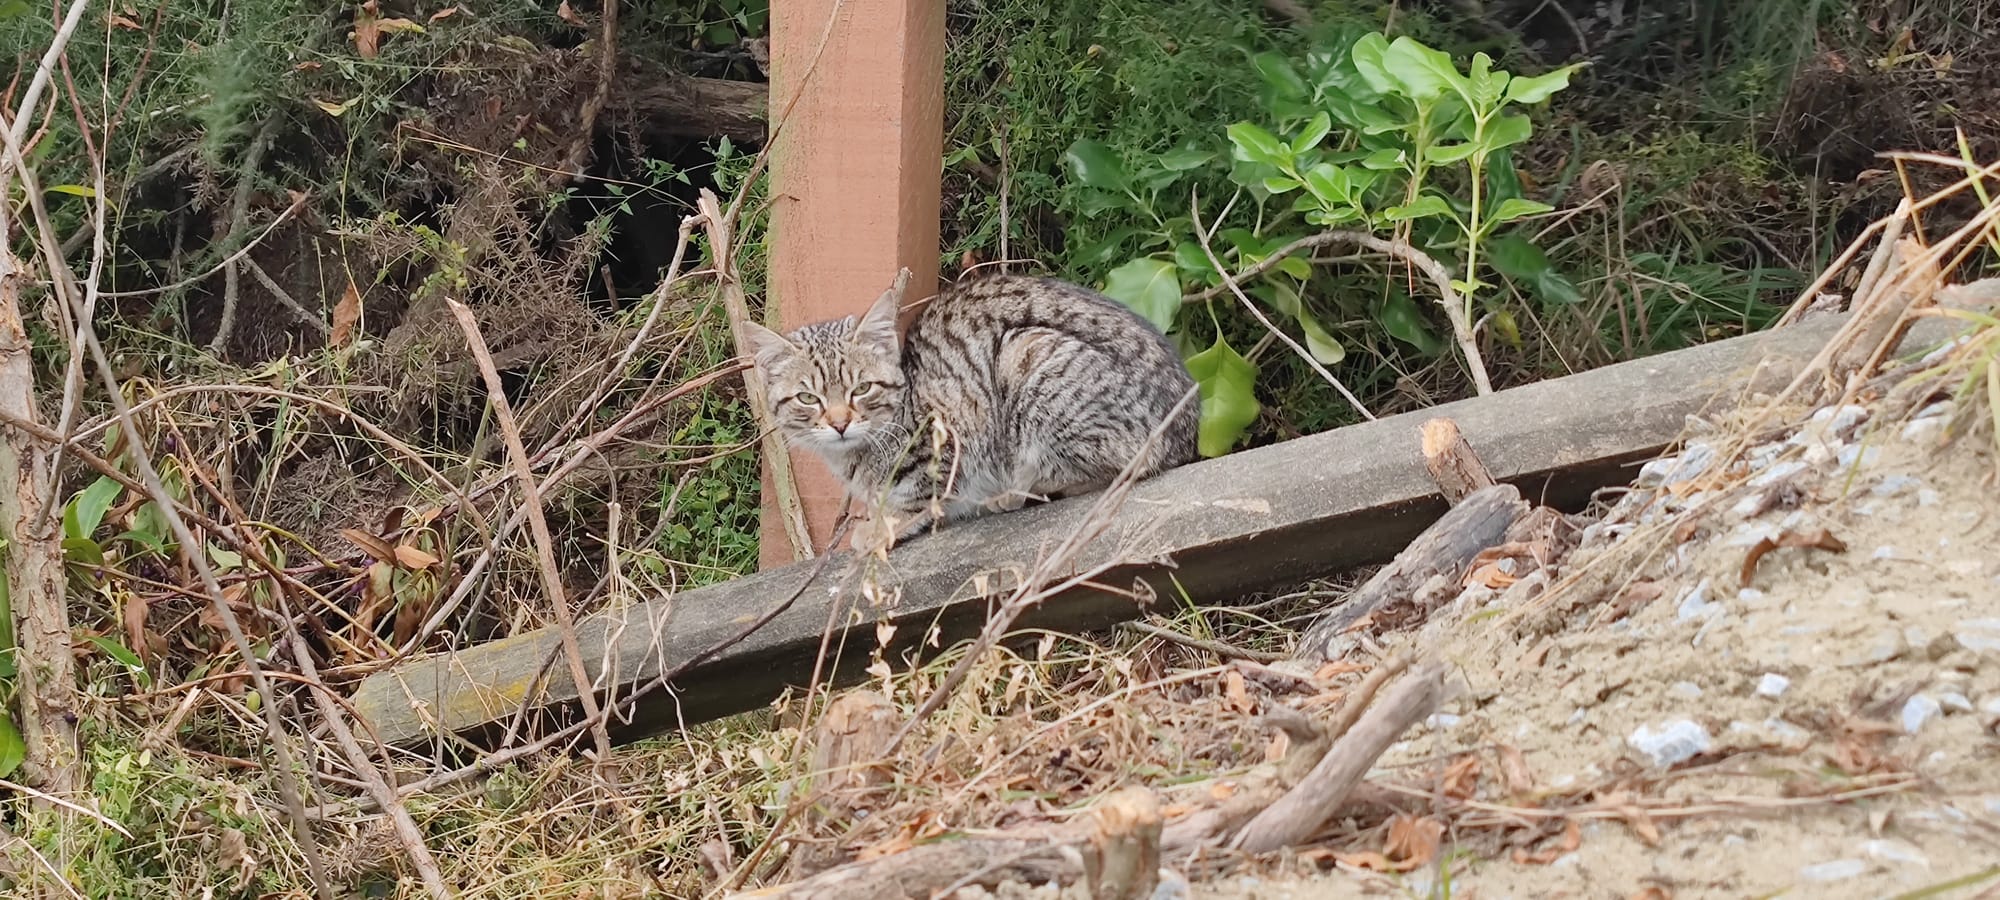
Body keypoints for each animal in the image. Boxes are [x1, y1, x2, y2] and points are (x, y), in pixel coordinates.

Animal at [742, 270, 1201, 552]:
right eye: (809, 398)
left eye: (862, 389)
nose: (839, 423)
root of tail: (1187, 430)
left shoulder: (954, 429)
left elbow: (920, 494)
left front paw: (880, 525)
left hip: (1025, 357)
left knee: (1118, 466)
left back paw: (1013, 492)